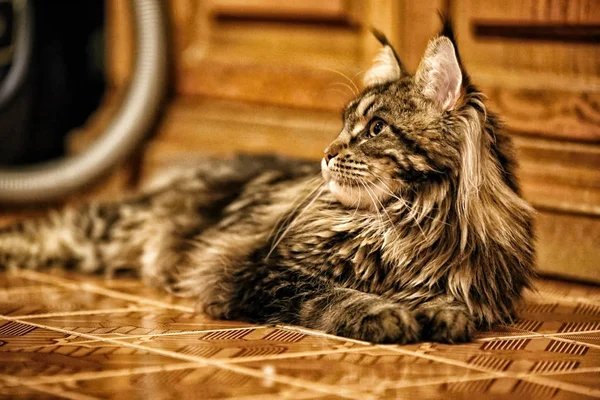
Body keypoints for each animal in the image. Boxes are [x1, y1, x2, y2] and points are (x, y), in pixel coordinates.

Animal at [0, 19, 536, 344]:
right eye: (344, 124)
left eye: (376, 129)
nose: (326, 154)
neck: (402, 224)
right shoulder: (259, 267)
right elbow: (332, 292)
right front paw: (383, 313)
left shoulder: (474, 283)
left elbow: (447, 297)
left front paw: (440, 312)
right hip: (98, 232)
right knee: (34, 230)